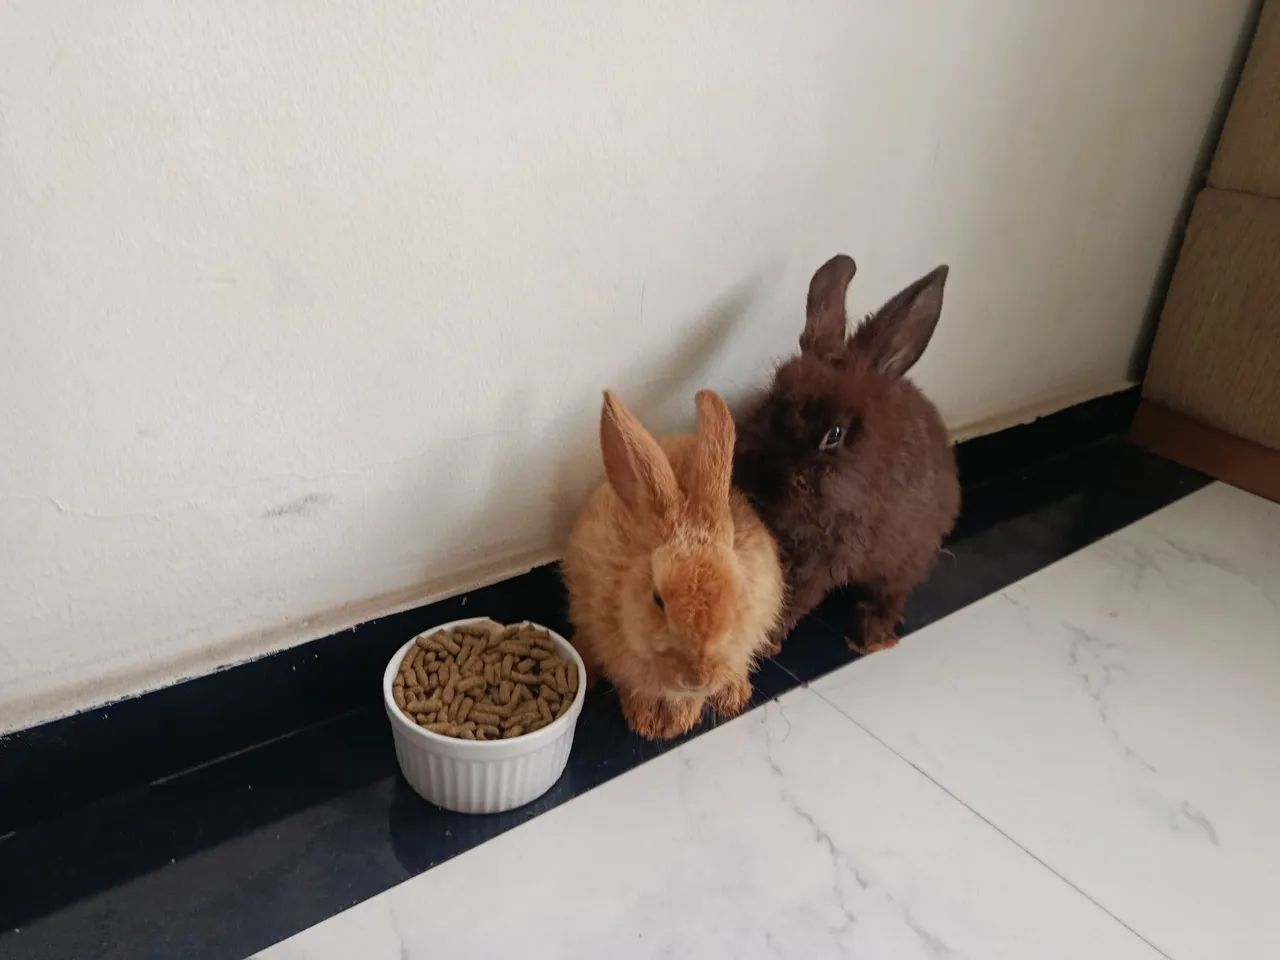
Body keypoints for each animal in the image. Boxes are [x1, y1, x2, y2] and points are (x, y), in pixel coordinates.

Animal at [563, 389, 785, 740]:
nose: (697, 678)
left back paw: (733, 695)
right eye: (658, 599)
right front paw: (650, 723)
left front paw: (675, 721)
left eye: (737, 596)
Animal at [733, 254, 960, 655]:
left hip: (907, 559)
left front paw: (765, 644)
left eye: (833, 436)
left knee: (893, 594)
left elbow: (793, 600)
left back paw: (870, 636)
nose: (755, 483)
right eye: (773, 397)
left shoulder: (827, 558)